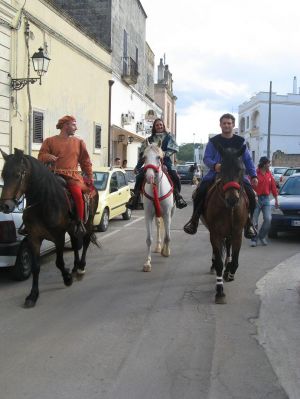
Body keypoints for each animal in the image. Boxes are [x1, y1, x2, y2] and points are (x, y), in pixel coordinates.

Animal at [0, 148, 99, 308]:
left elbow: (59, 262)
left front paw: (67, 278)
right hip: (72, 228)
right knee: (75, 242)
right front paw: (33, 295)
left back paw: (80, 268)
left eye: (17, 175)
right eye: (3, 175)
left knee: (85, 242)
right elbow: (35, 267)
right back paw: (75, 267)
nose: (5, 206)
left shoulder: (59, 237)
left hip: (88, 223)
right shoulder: (34, 238)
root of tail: (91, 186)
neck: (43, 202)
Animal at [142, 143, 175, 272]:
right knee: (159, 225)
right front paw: (147, 263)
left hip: (170, 213)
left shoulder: (166, 213)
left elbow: (168, 235)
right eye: (144, 157)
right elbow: (148, 239)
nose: (149, 177)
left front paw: (166, 251)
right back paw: (158, 247)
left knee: (167, 230)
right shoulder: (148, 215)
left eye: (158, 157)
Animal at [204, 145, 248, 304]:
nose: (232, 199)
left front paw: (230, 273)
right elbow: (218, 262)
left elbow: (235, 260)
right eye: (221, 169)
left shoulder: (237, 233)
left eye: (240, 169)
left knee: (228, 249)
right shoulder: (215, 233)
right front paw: (220, 291)